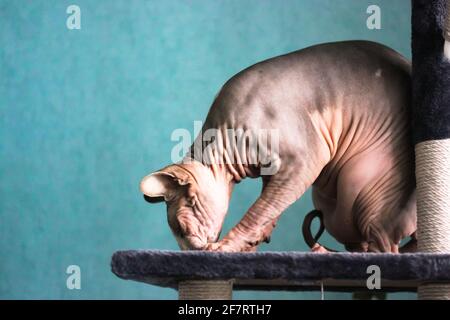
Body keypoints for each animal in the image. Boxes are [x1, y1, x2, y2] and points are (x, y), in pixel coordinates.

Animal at [139, 41, 416, 254]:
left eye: (181, 229)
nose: (188, 252)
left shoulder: (304, 160)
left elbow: (259, 210)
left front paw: (227, 247)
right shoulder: (273, 172)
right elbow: (270, 205)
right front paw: (253, 242)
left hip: (365, 189)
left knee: (384, 246)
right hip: (327, 200)